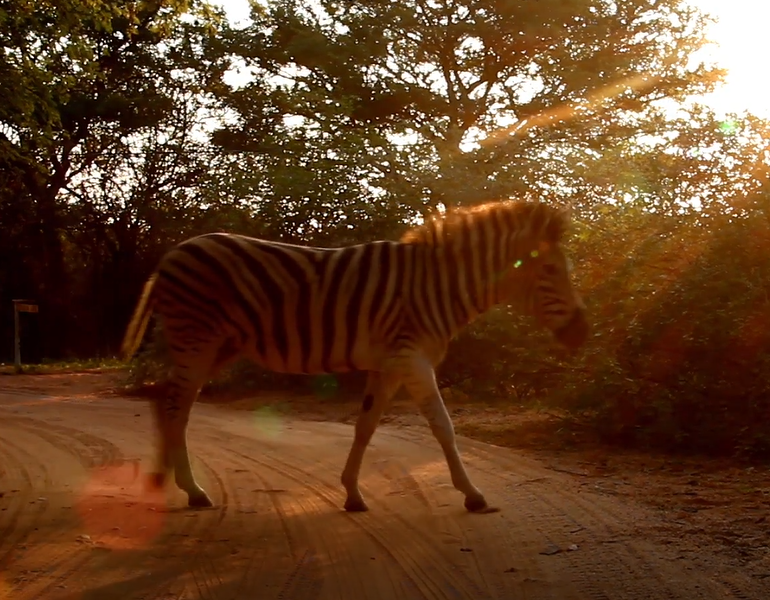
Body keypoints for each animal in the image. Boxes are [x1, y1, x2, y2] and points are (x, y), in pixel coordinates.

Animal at [121, 199, 589, 513]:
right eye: (550, 270)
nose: (582, 332)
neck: (439, 286)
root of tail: (173, 253)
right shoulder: (412, 357)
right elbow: (443, 426)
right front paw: (472, 495)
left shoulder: (390, 364)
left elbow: (365, 426)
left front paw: (352, 493)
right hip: (197, 338)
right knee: (177, 406)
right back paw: (193, 491)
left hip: (218, 346)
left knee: (165, 397)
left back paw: (163, 480)